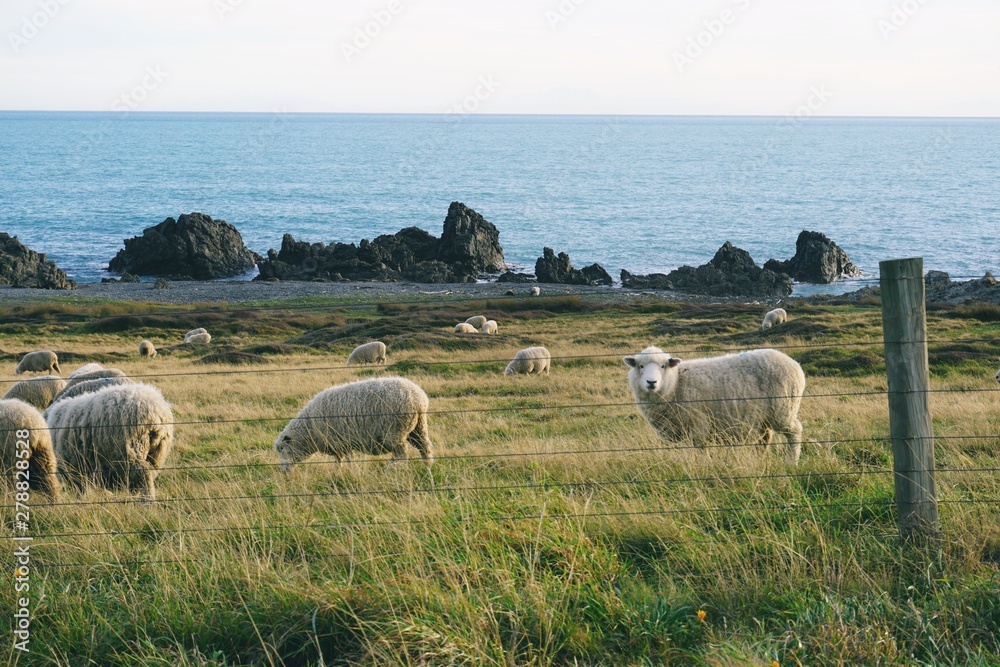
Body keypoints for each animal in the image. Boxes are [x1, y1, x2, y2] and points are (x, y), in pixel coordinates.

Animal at [46, 383, 174, 499]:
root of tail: (155, 411)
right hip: (156, 454)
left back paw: (147, 502)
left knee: (143, 474)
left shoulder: (76, 470)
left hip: (133, 448)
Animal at [275, 377, 433, 471]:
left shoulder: (342, 441)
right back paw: (427, 465)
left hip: (395, 430)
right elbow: (338, 459)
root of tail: (419, 398)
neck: (310, 429)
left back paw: (393, 469)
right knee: (424, 446)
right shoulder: (337, 444)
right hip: (417, 427)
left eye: (283, 449)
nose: (284, 472)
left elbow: (347, 459)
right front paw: (338, 471)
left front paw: (350, 470)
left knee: (402, 453)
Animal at [624, 347, 806, 463]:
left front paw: (703, 467)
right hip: (763, 418)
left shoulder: (698, 423)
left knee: (795, 432)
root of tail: (794, 363)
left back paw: (791, 462)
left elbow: (700, 449)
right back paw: (760, 461)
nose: (651, 382)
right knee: (764, 440)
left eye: (663, 366)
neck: (676, 384)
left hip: (783, 409)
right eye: (640, 366)